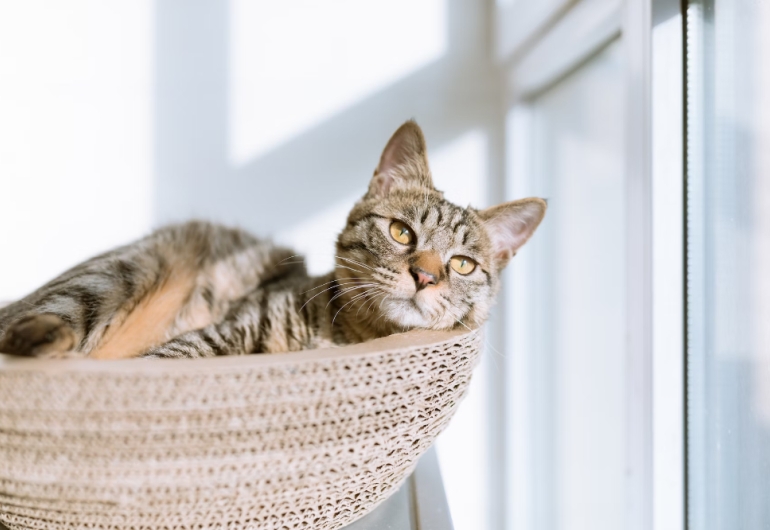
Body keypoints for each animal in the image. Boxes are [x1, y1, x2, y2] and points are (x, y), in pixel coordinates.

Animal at [0, 120, 544, 358]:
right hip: (116, 274)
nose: (426, 276)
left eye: (463, 264)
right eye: (401, 232)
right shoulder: (216, 333)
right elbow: (171, 358)